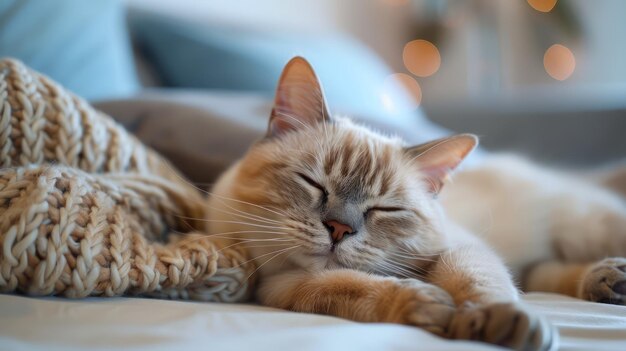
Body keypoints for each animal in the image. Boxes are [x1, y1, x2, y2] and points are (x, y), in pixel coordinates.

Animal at [206, 56, 624, 350]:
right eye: (314, 185)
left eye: (385, 210)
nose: (339, 229)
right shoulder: (281, 285)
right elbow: (347, 286)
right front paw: (426, 305)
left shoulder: (461, 248)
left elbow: (477, 281)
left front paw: (498, 319)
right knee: (544, 271)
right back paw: (607, 281)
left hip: (586, 228)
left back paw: (609, 278)